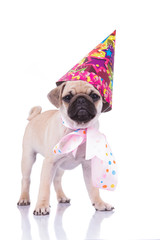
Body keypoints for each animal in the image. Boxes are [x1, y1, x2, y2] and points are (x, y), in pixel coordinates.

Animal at [17, 80, 114, 216]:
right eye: (67, 97)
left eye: (94, 96)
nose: (81, 99)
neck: (78, 129)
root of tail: (35, 117)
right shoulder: (49, 163)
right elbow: (44, 187)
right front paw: (42, 206)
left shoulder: (88, 166)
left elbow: (93, 188)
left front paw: (99, 203)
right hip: (28, 158)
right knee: (26, 179)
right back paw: (24, 198)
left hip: (60, 167)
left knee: (56, 180)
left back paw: (62, 197)